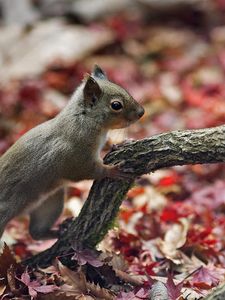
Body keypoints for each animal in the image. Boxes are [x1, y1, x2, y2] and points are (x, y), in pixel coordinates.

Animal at [0, 64, 144, 240]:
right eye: (116, 105)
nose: (142, 112)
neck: (84, 119)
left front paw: (119, 144)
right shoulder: (75, 156)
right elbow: (86, 171)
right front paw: (113, 170)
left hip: (50, 202)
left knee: (36, 233)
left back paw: (60, 230)